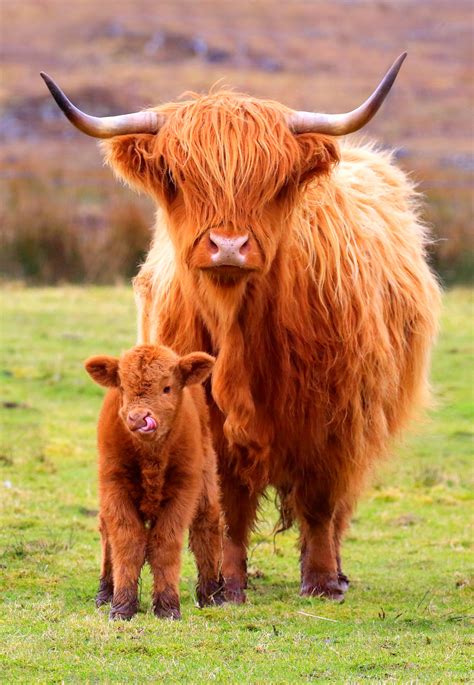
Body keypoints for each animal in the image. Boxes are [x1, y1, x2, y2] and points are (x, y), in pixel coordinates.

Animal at [84, 344, 224, 616]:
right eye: (123, 388)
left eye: (167, 388)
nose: (138, 418)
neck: (151, 460)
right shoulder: (114, 488)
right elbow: (127, 543)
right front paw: (122, 605)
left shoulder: (183, 491)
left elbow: (164, 545)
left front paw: (167, 606)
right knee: (107, 534)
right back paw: (104, 591)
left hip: (205, 485)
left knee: (207, 526)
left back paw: (213, 594)